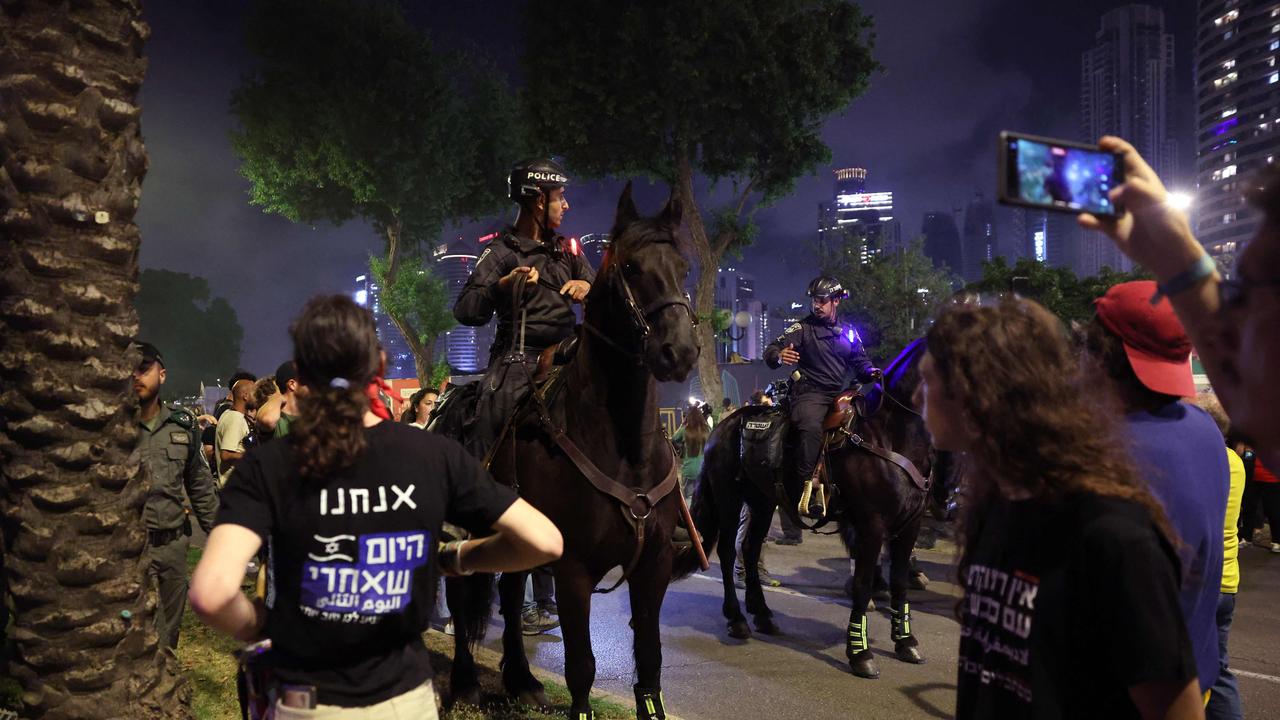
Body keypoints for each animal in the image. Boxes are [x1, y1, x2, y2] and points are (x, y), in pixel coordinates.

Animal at [442, 183, 701, 717]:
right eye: (630, 266)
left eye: (683, 267)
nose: (680, 352)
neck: (623, 448)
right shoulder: (574, 569)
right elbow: (581, 665)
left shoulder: (655, 566)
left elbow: (650, 660)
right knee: (462, 595)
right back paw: (465, 681)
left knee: (510, 593)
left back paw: (521, 678)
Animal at [680, 338, 942, 676]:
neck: (889, 437)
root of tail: (723, 427)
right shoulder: (870, 527)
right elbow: (862, 586)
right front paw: (860, 653)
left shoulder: (908, 526)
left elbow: (899, 583)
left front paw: (905, 642)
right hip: (729, 499)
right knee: (727, 551)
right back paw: (737, 619)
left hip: (762, 502)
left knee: (750, 549)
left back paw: (762, 614)